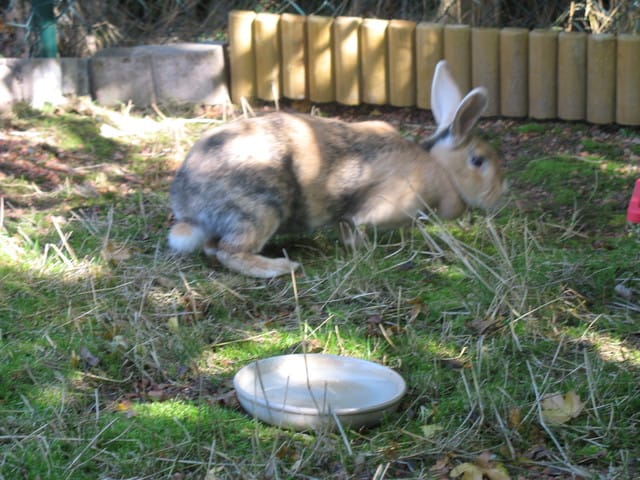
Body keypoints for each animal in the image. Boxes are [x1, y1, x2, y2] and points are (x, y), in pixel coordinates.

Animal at [168, 60, 505, 278]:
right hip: (261, 207)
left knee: (213, 248)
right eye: (478, 161)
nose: (500, 195)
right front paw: (364, 250)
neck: (439, 167)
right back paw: (280, 268)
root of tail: (187, 206)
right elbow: (354, 226)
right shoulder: (376, 209)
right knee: (229, 251)